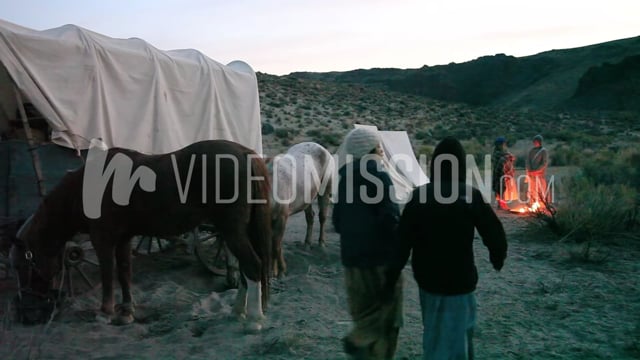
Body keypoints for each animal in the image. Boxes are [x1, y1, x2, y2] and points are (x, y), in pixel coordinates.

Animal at [12, 139, 272, 330]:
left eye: (25, 265)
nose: (27, 316)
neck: (89, 187)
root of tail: (244, 153)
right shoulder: (123, 239)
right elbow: (124, 272)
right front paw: (126, 312)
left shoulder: (103, 239)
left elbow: (108, 274)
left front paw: (105, 313)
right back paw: (237, 311)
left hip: (231, 230)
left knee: (252, 265)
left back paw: (254, 320)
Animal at [266, 142, 336, 278]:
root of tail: (322, 148)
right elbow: (273, 244)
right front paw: (274, 271)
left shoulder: (282, 218)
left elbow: (276, 245)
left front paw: (279, 272)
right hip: (307, 198)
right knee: (310, 217)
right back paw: (307, 244)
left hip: (325, 190)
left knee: (322, 217)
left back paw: (321, 244)